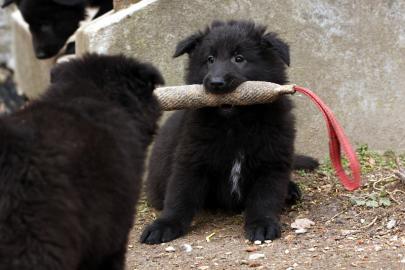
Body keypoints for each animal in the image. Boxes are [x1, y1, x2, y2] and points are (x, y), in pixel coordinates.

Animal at [142, 20, 318, 244]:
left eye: (239, 58)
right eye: (210, 59)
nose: (216, 83)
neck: (235, 125)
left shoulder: (272, 162)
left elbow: (265, 198)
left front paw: (262, 223)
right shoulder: (190, 160)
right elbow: (180, 196)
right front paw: (165, 224)